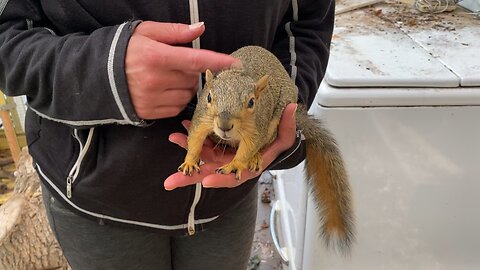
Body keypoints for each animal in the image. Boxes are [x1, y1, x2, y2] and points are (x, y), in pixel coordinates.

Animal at [178, 46, 354, 253]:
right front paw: (190, 162)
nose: (224, 125)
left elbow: (249, 147)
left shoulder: (257, 129)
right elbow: (196, 138)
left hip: (274, 125)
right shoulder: (202, 118)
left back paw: (255, 157)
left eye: (251, 102)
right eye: (209, 97)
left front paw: (236, 164)